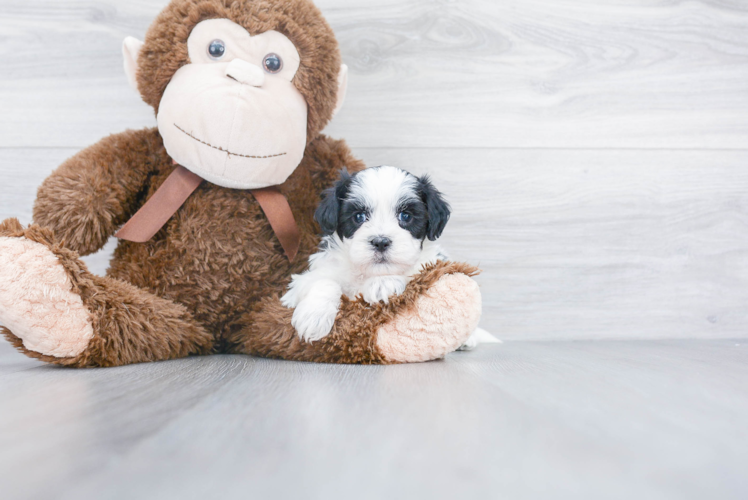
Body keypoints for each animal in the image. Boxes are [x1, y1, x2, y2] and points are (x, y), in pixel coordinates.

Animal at [280, 166, 496, 346]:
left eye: (406, 216)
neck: (368, 273)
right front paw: (313, 316)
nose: (381, 242)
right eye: (359, 217)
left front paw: (383, 284)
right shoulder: (312, 275)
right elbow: (323, 281)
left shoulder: (428, 265)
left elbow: (411, 273)